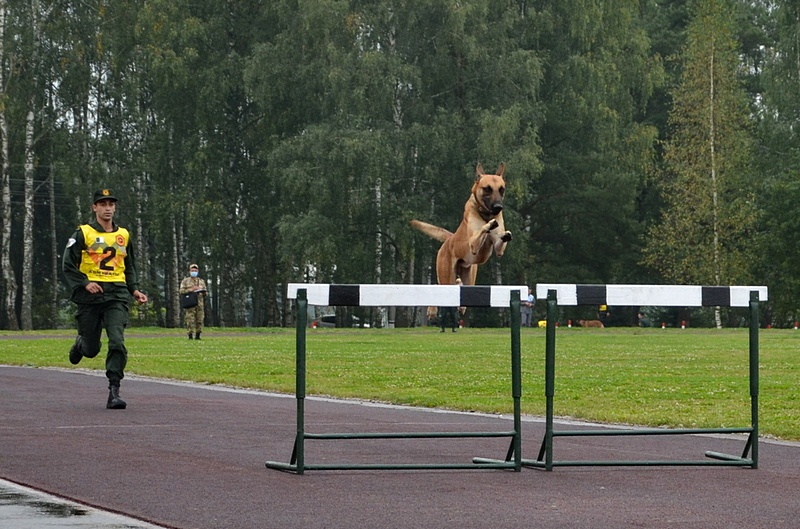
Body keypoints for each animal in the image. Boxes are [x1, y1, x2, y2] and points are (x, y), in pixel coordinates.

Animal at [412, 163, 512, 314]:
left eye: (502, 189)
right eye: (487, 188)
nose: (498, 207)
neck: (485, 214)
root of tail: (450, 238)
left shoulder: (498, 248)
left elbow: (500, 243)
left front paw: (505, 233)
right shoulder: (473, 243)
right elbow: (482, 230)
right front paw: (488, 225)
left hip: (469, 277)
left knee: (460, 287)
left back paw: (460, 304)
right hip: (446, 275)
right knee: (438, 286)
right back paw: (432, 310)